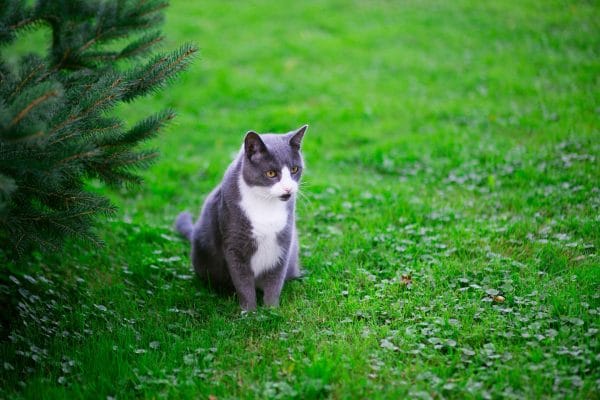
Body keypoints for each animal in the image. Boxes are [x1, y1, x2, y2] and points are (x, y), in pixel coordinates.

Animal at [172, 125, 304, 310]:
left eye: (294, 170)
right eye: (271, 173)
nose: (288, 189)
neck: (265, 204)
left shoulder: (283, 242)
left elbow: (275, 280)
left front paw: (272, 309)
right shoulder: (235, 244)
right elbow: (243, 283)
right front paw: (250, 312)